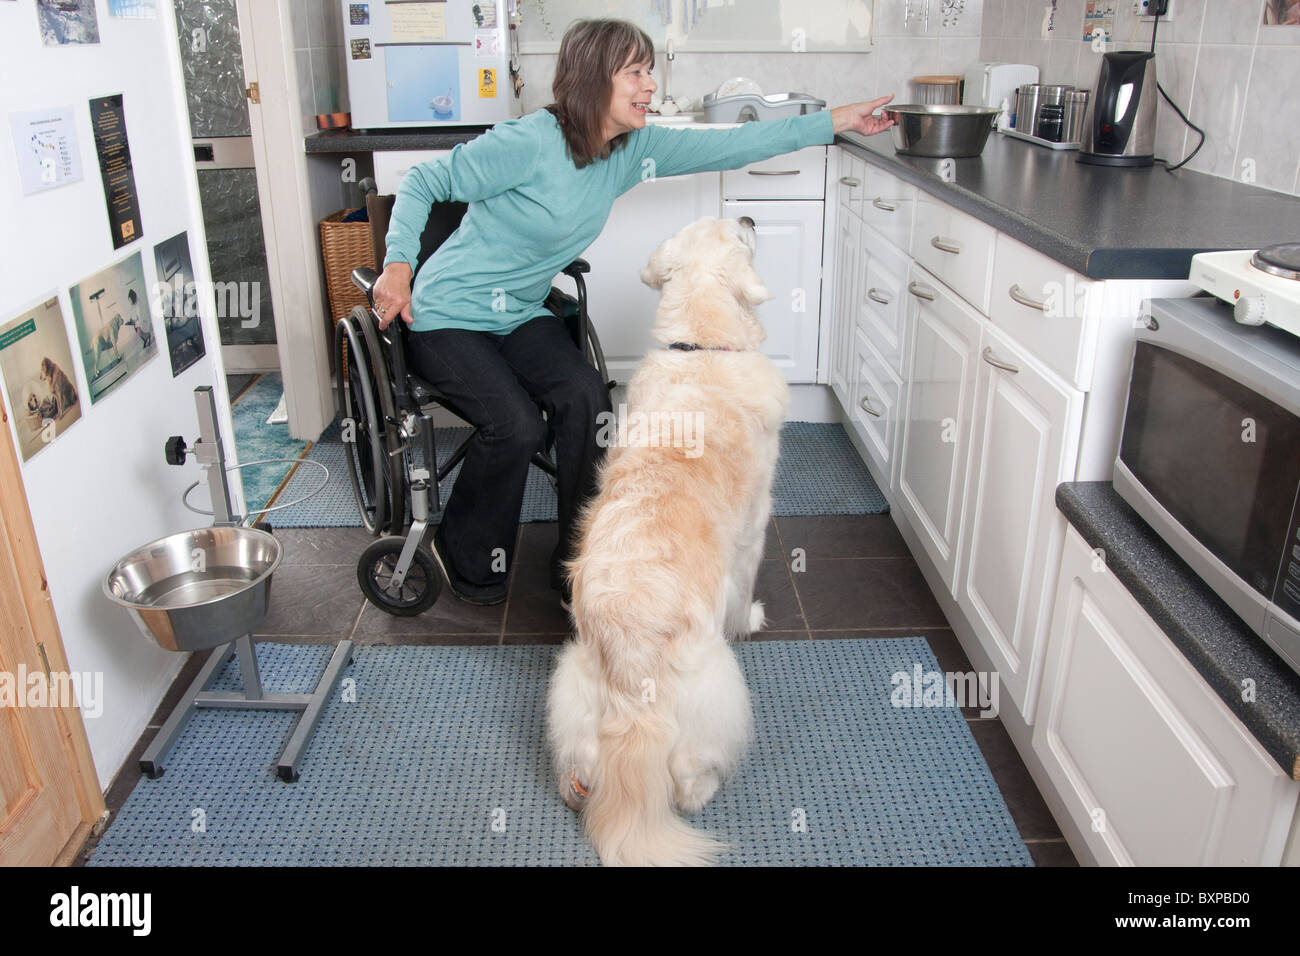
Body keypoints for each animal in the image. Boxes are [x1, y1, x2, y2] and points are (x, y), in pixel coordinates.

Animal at [543, 217, 785, 868]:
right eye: (739, 234)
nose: (752, 218)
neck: (700, 349)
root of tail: (633, 666)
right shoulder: (753, 529)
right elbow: (744, 591)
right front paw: (751, 617)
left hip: (571, 678)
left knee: (580, 763)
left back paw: (576, 786)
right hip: (719, 688)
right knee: (687, 774)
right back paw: (703, 788)